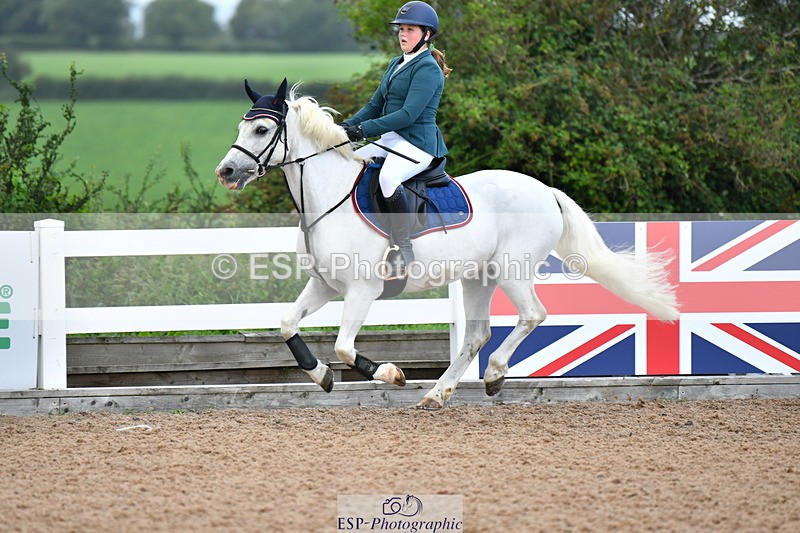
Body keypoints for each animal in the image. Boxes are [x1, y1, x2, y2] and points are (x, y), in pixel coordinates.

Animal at [215, 79, 679, 409]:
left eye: (262, 129)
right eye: (240, 126)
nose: (226, 171)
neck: (330, 196)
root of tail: (546, 191)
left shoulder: (362, 290)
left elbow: (345, 347)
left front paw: (390, 374)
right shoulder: (325, 285)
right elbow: (287, 324)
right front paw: (321, 376)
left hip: (512, 270)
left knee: (532, 315)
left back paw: (493, 376)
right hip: (479, 276)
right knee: (476, 335)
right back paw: (436, 395)